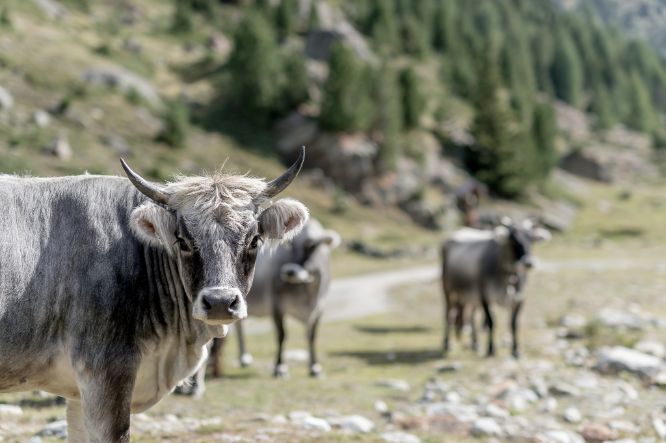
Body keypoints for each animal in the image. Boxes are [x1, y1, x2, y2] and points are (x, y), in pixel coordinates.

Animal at [441, 219, 550, 358]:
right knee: (449, 313)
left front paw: (516, 350)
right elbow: (491, 322)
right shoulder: (485, 297)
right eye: (513, 239)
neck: (507, 276)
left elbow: (514, 323)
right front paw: (491, 349)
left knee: (471, 316)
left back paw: (475, 343)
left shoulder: (519, 299)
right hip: (448, 289)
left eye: (531, 239)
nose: (528, 262)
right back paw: (447, 343)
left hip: (472, 296)